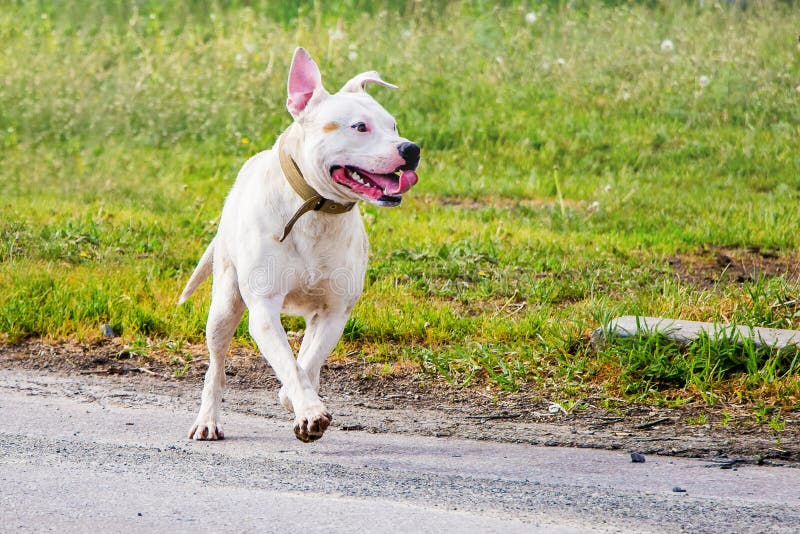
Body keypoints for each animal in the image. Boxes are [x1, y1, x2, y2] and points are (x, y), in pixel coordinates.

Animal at [180, 47, 418, 444]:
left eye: (395, 126)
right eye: (359, 127)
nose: (411, 148)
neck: (316, 212)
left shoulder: (335, 312)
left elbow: (305, 364)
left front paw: (298, 402)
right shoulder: (263, 310)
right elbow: (288, 364)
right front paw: (308, 409)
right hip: (224, 305)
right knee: (215, 369)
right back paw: (207, 421)